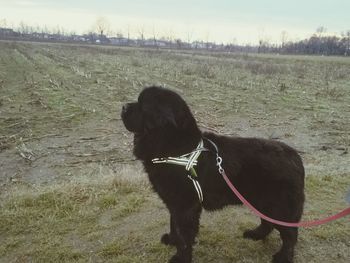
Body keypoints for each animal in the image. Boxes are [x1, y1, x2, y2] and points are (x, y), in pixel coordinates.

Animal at [121, 85, 304, 262]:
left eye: (143, 105)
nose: (123, 106)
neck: (177, 148)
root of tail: (295, 156)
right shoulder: (174, 202)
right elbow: (174, 224)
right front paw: (172, 240)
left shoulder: (185, 206)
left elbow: (184, 236)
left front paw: (180, 257)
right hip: (261, 201)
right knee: (268, 223)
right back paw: (255, 235)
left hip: (279, 207)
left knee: (290, 234)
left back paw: (283, 257)